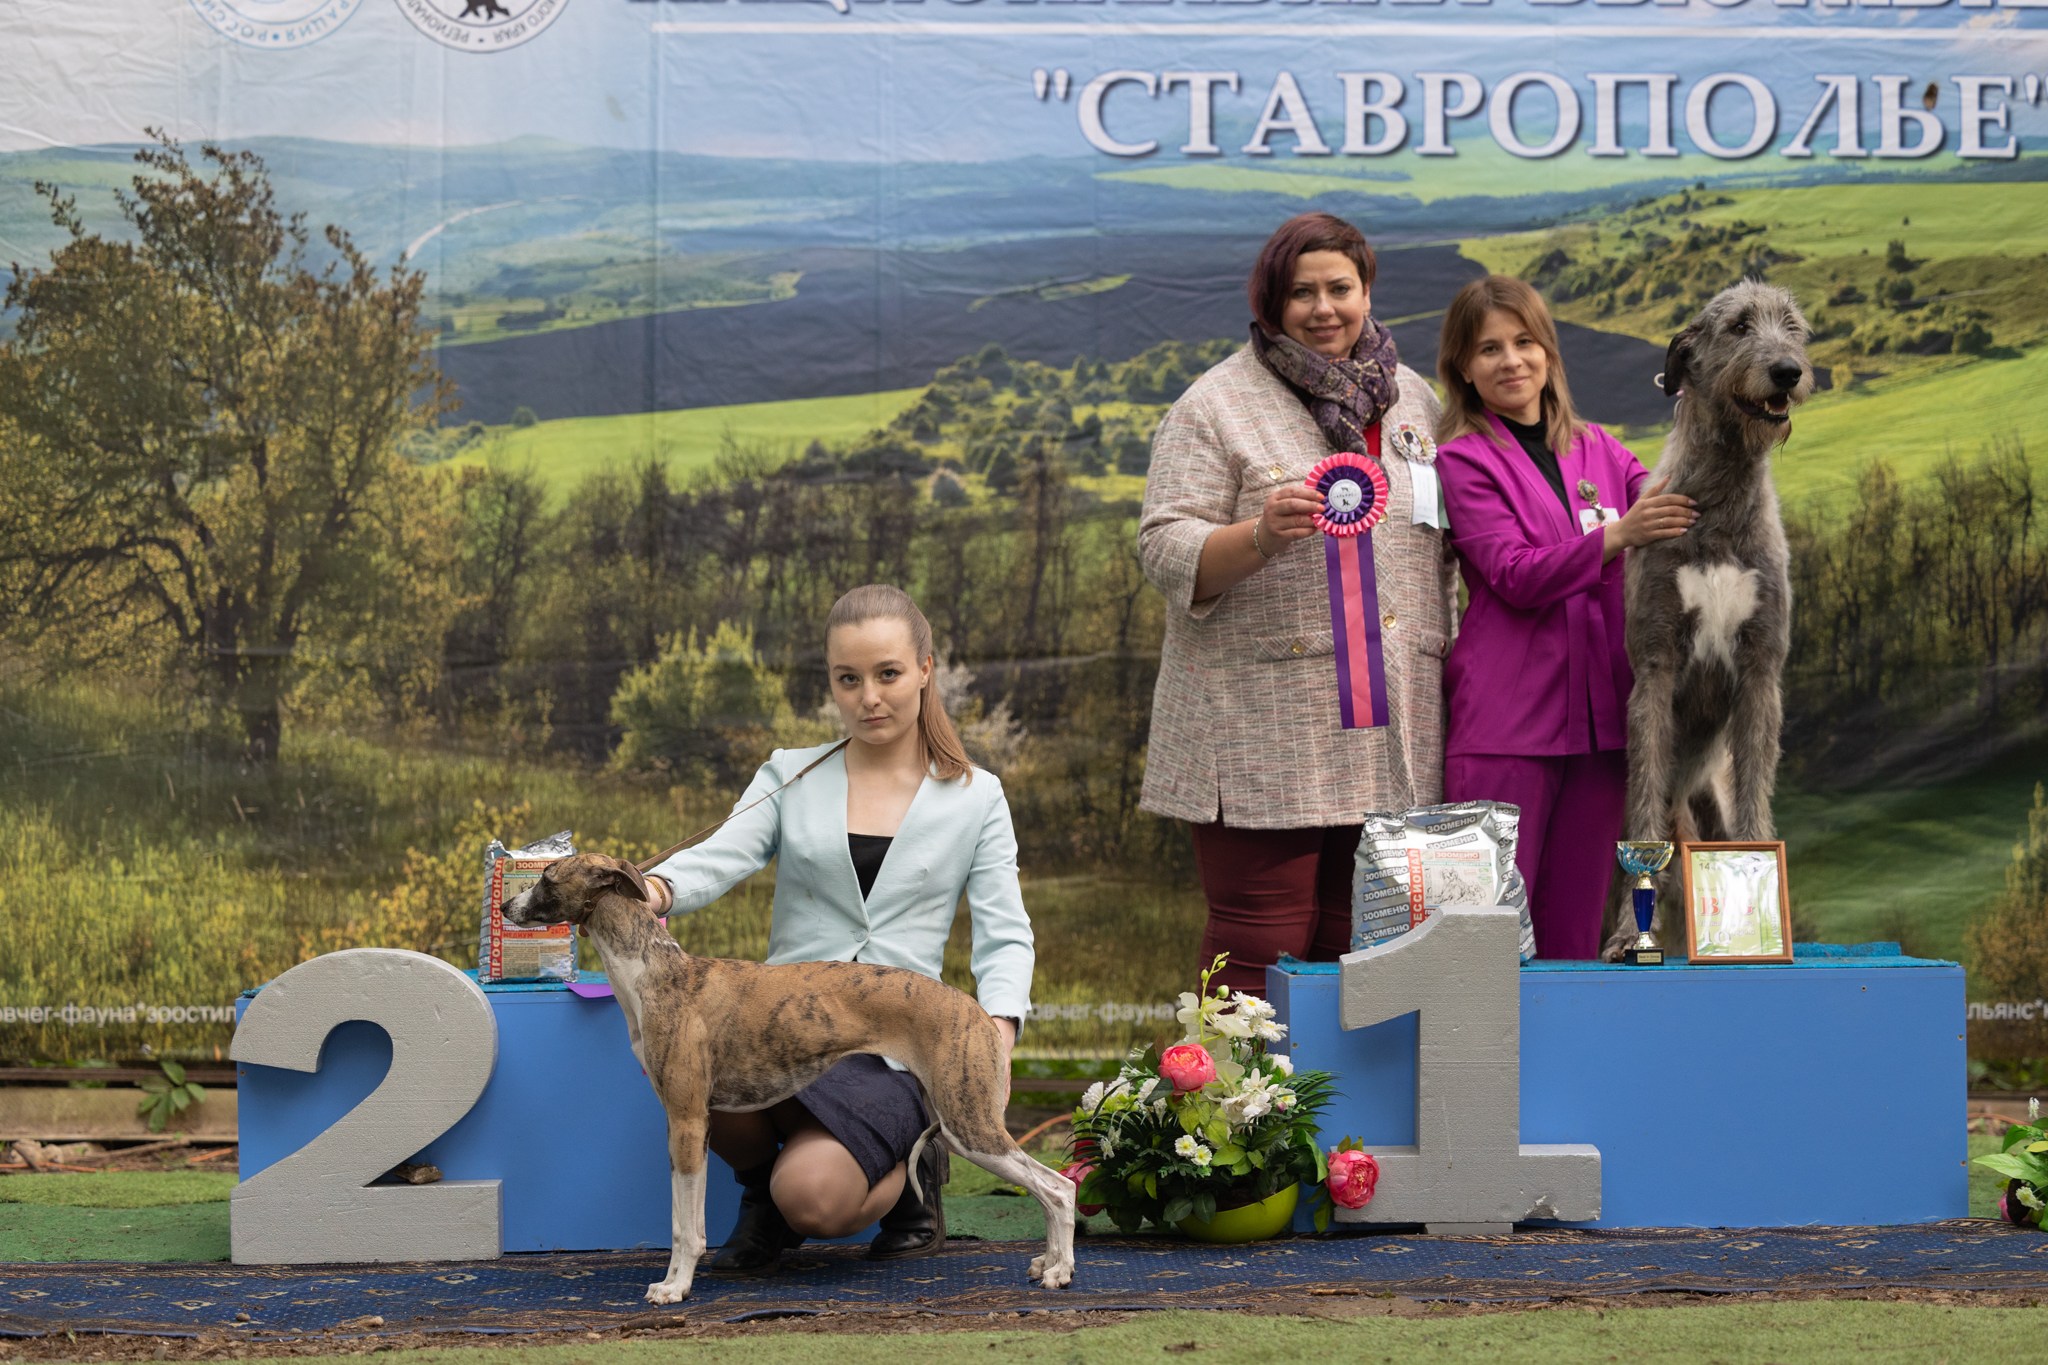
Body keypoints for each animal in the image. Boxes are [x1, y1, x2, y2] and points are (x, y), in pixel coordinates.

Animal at [499, 855, 1073, 1301]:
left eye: (546, 876)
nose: (505, 908)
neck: (655, 975)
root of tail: (975, 1010)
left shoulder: (686, 1119)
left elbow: (686, 1227)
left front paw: (675, 1286)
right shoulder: (686, 1121)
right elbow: (684, 1219)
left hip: (968, 1121)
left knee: (1059, 1187)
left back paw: (1062, 1270)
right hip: (961, 1120)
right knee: (1049, 1187)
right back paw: (1047, 1263)